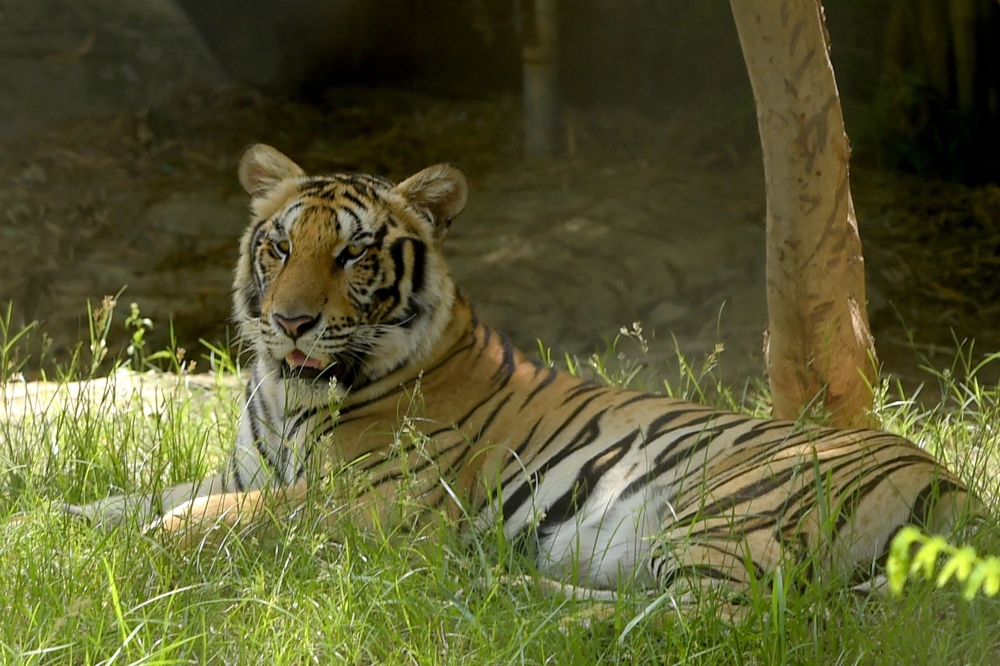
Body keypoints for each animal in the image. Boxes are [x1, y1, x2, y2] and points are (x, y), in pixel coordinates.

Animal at [66, 143, 968, 601]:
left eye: (353, 254)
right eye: (279, 247)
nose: (290, 322)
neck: (291, 398)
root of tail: (955, 487)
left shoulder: (375, 504)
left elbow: (222, 515)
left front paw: (156, 544)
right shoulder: (241, 468)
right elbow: (138, 496)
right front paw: (59, 519)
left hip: (727, 511)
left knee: (707, 625)